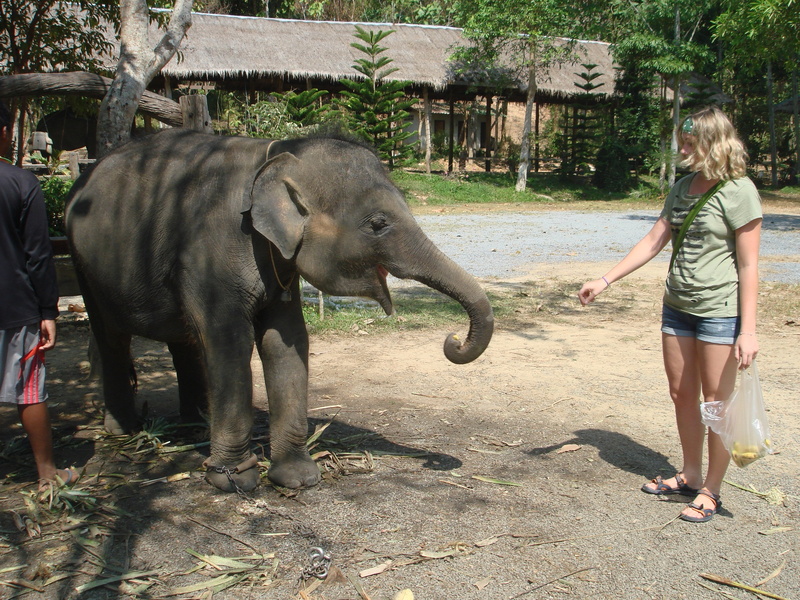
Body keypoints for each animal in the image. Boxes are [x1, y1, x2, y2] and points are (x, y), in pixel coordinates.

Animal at [67, 131, 494, 492]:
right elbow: (230, 343)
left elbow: (285, 342)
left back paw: (195, 426)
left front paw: (298, 478)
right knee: (112, 337)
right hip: (83, 266)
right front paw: (233, 480)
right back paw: (124, 430)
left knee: (182, 341)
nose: (453, 340)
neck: (275, 157)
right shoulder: (210, 251)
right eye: (377, 223)